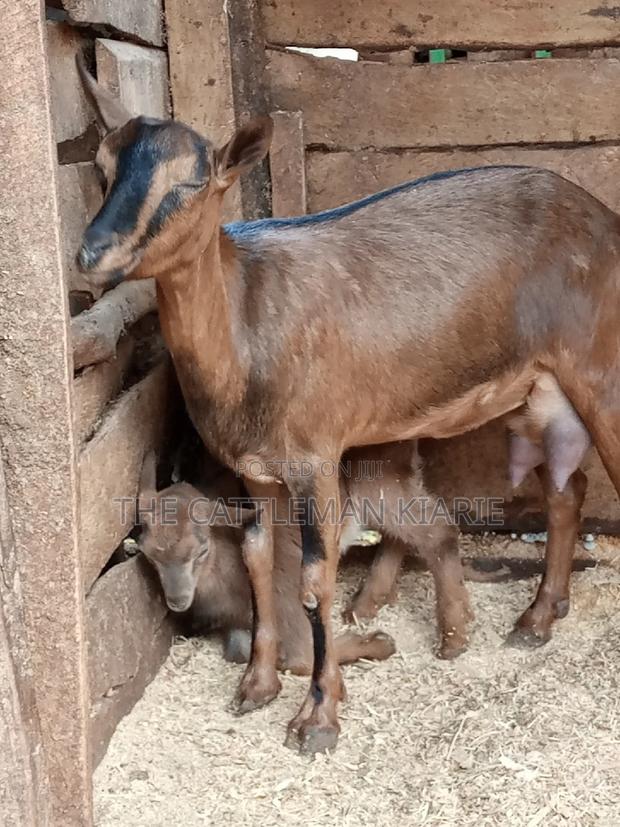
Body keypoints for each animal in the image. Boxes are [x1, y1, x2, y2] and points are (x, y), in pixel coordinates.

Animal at [77, 59, 620, 754]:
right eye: (101, 164)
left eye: (193, 181)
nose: (92, 253)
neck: (246, 326)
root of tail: (604, 220)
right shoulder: (256, 470)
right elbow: (257, 558)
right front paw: (256, 687)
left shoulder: (316, 456)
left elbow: (315, 581)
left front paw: (318, 718)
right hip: (538, 391)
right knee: (564, 488)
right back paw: (535, 617)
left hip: (600, 371)